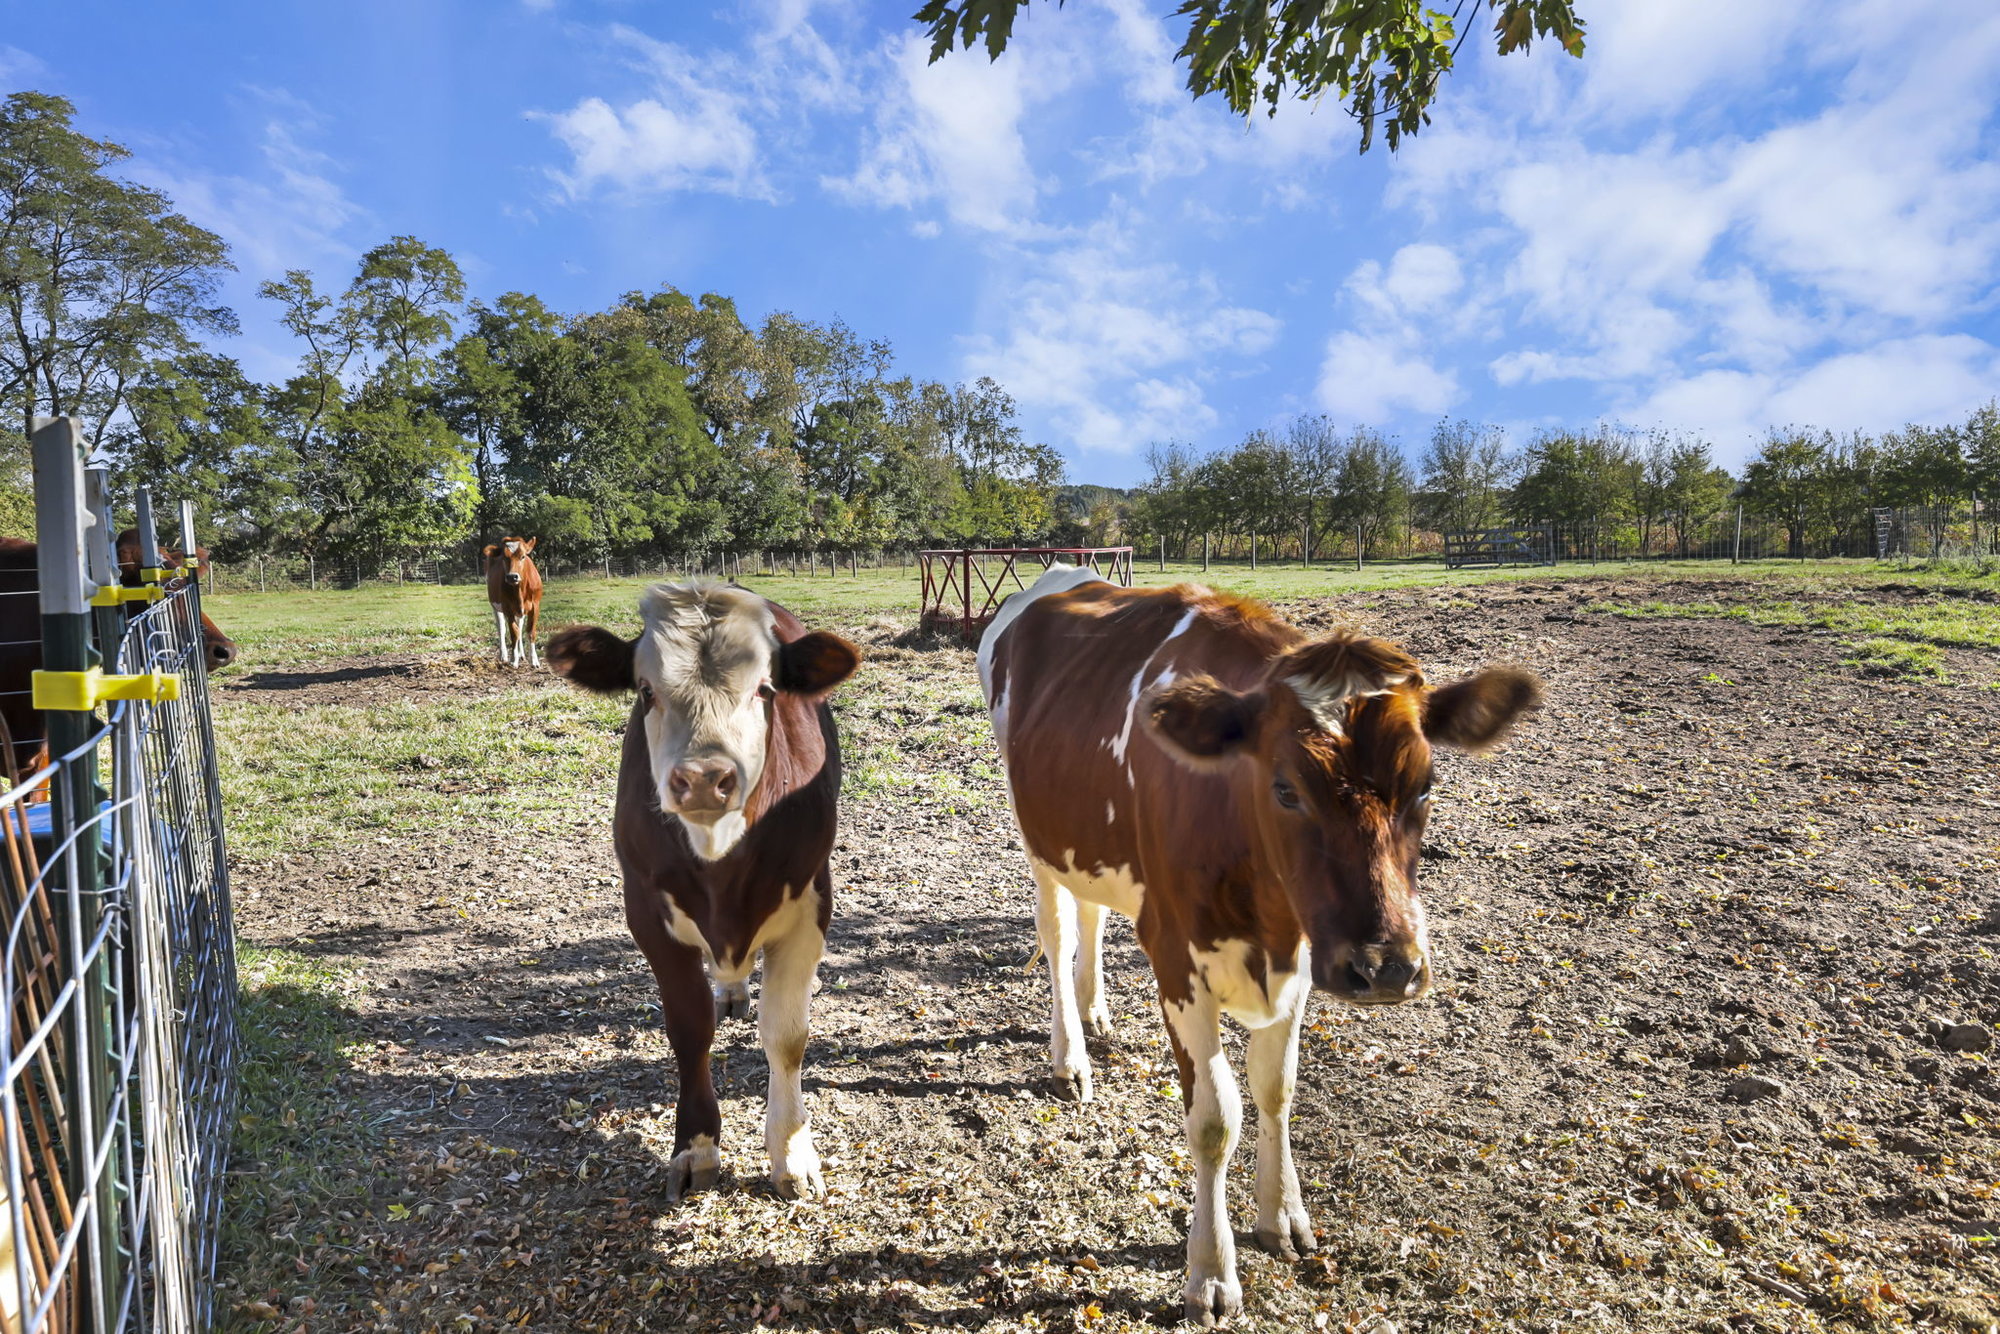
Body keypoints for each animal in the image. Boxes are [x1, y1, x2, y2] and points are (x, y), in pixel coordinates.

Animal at [484, 537, 543, 668]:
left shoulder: (535, 606)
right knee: (501, 628)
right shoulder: (508, 608)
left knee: (520, 627)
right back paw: (504, 655)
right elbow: (513, 633)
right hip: (495, 607)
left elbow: (530, 632)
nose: (512, 577)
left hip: (521, 611)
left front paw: (534, 660)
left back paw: (522, 655)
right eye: (504, 557)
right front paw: (513, 659)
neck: (520, 590)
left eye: (523, 556)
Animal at [547, 581, 860, 1201]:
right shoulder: (646, 910)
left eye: (764, 687)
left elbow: (786, 1036)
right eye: (645, 690)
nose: (703, 779)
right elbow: (689, 1031)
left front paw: (792, 1151)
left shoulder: (810, 903)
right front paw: (695, 1148)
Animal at [979, 566, 1541, 1325]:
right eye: (1286, 789)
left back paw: (1097, 1017)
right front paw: (1211, 1272)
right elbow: (1217, 1118)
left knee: (1092, 915)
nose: (1387, 967)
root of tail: (1065, 575)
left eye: (1425, 786)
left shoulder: (1305, 956)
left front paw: (1284, 1216)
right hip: (1037, 833)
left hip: (1089, 837)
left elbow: (1277, 1089)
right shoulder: (1176, 956)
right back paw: (1070, 1056)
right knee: (1060, 930)